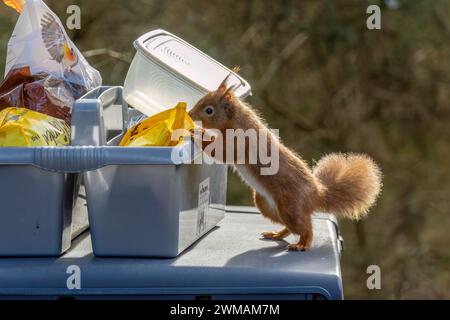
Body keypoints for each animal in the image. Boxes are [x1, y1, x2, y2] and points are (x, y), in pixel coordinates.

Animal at [188, 73, 382, 250]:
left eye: (209, 110)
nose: (189, 114)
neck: (236, 120)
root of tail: (317, 194)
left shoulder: (241, 142)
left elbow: (223, 152)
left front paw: (197, 133)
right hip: (267, 204)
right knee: (289, 227)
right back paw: (277, 234)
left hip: (290, 208)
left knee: (305, 228)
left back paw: (302, 244)